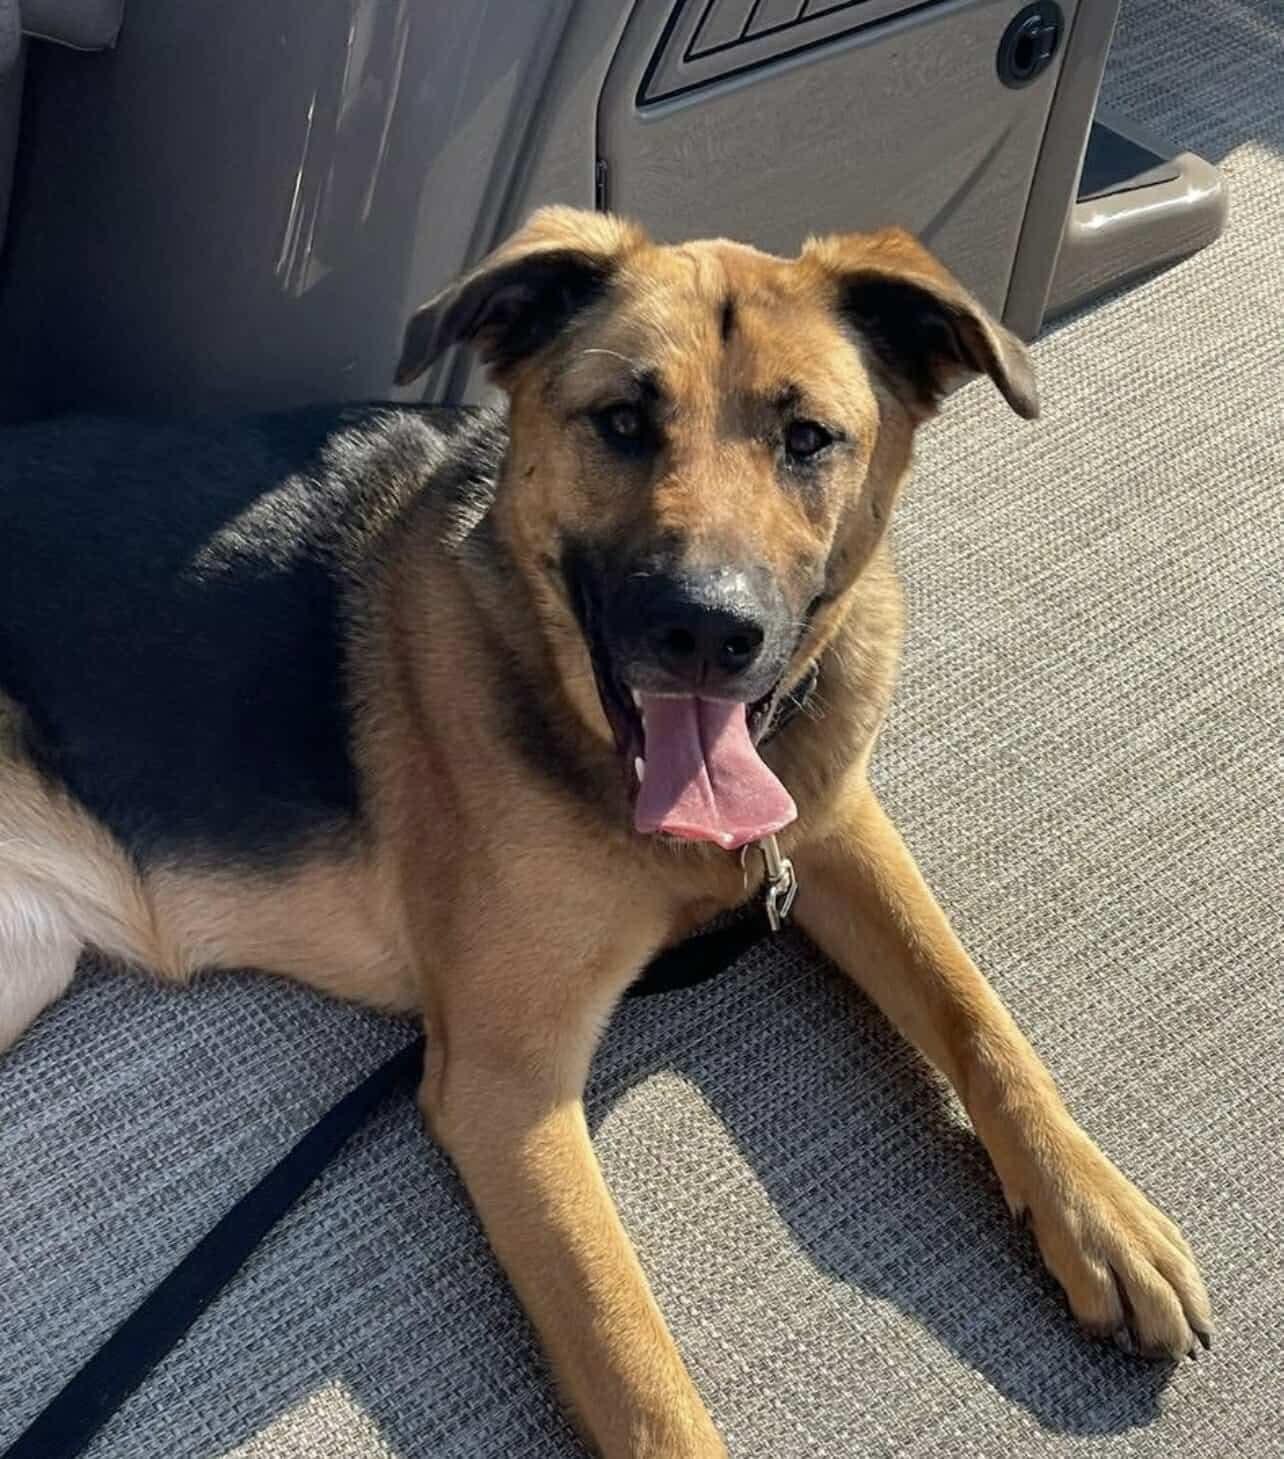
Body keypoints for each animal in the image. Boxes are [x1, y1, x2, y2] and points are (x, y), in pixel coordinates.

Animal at [0, 208, 1210, 1457]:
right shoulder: (508, 1085)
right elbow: (637, 1369)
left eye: (808, 438)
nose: (708, 630)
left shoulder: (830, 825)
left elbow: (973, 1006)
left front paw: (1099, 1212)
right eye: (623, 421)